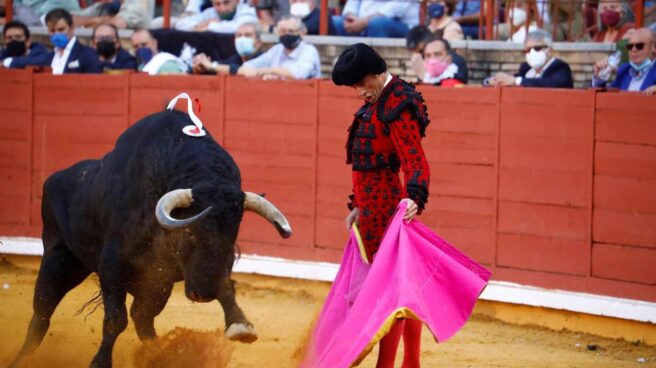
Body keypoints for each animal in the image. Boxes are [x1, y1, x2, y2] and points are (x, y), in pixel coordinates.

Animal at [9, 109, 292, 368]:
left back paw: (161, 353)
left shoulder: (182, 269)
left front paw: (239, 325)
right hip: (58, 260)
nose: (202, 294)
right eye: (189, 232)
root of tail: (54, 179)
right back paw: (21, 359)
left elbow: (224, 283)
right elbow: (115, 319)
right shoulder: (112, 265)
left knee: (143, 318)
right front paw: (100, 362)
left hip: (156, 285)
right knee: (42, 313)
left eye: (233, 234)